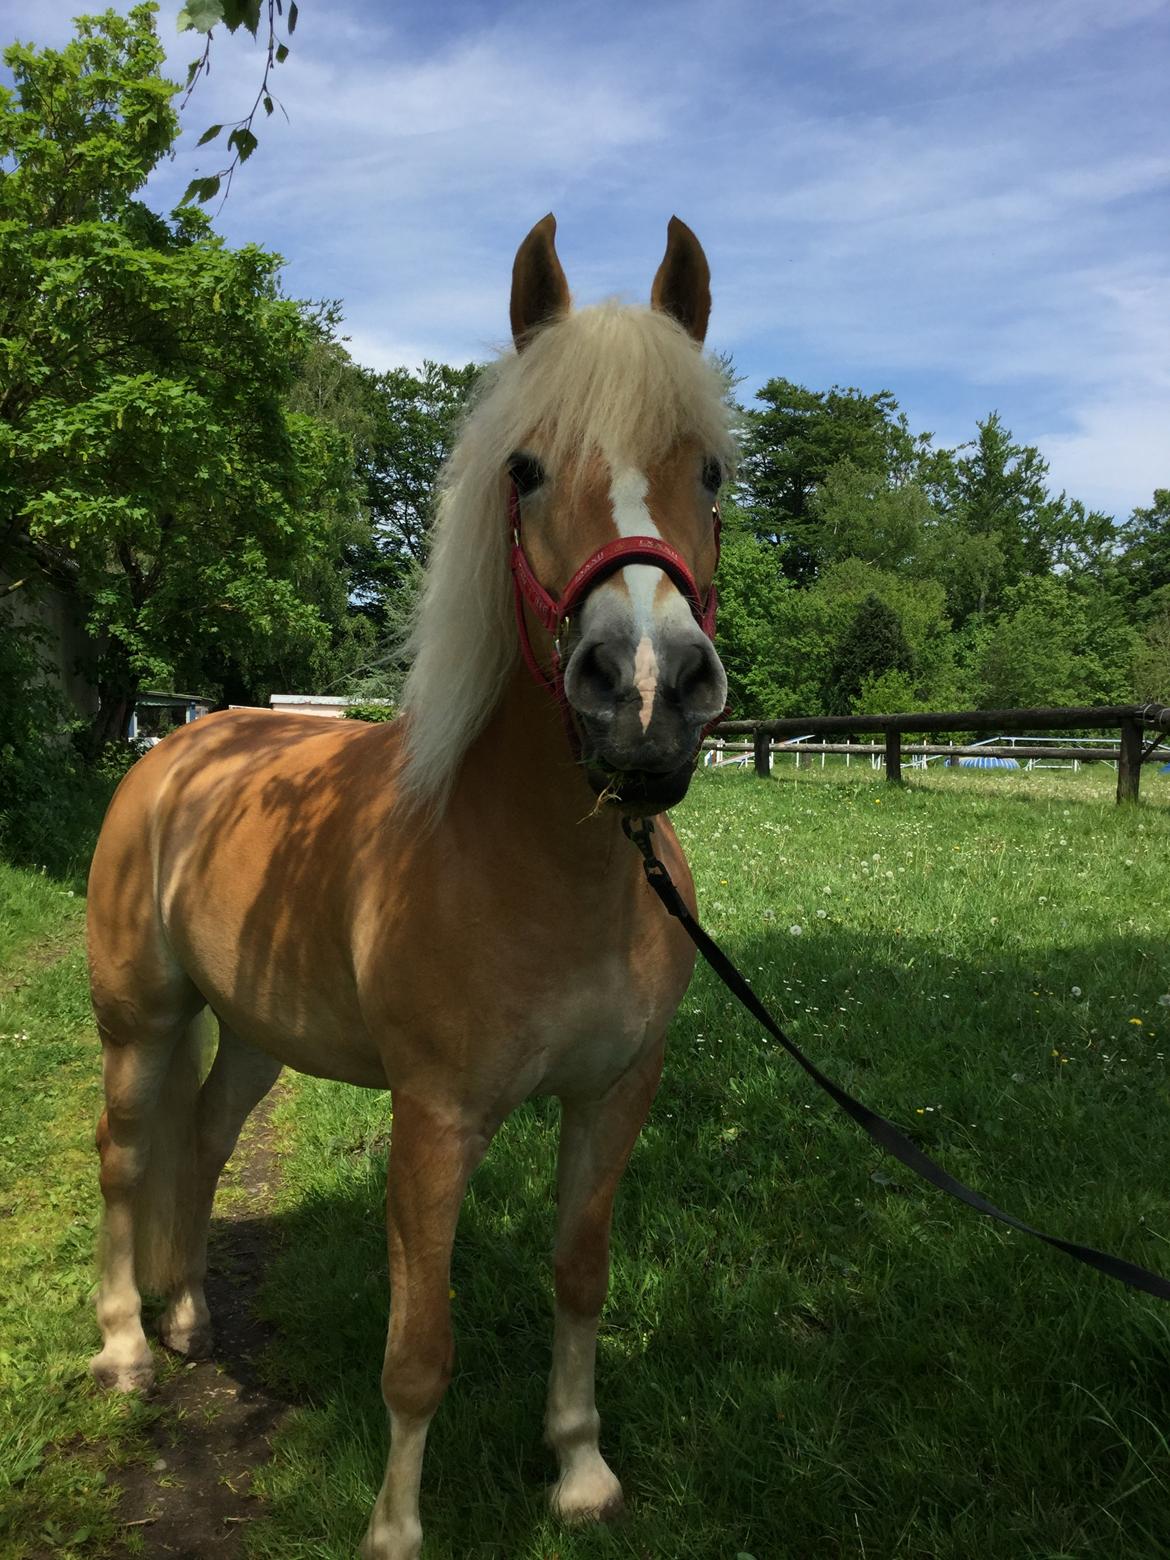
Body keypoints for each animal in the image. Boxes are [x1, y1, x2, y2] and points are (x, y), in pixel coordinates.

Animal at [89, 210, 733, 1560]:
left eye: (708, 473)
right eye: (525, 469)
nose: (648, 695)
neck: (553, 870)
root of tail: (175, 749)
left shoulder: (615, 1097)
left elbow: (579, 1274)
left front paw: (579, 1472)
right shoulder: (433, 1122)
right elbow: (419, 1348)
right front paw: (394, 1530)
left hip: (256, 1032)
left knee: (204, 1140)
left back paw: (190, 1321)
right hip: (140, 1019)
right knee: (125, 1156)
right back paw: (124, 1348)